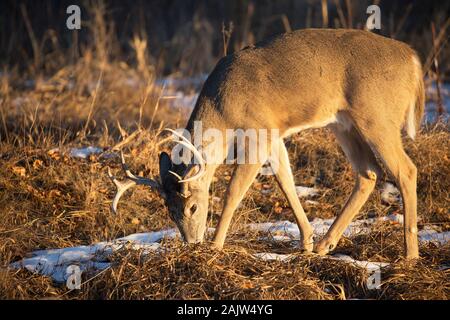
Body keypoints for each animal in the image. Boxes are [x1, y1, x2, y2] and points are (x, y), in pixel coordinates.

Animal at [110, 29, 426, 260]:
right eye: (169, 212)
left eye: (193, 208)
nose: (192, 243)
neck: (223, 109)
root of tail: (413, 59)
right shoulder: (273, 135)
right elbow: (286, 181)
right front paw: (306, 241)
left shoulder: (257, 131)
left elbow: (233, 192)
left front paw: (216, 246)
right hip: (343, 123)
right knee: (368, 173)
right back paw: (325, 244)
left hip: (377, 117)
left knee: (406, 170)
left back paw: (410, 255)